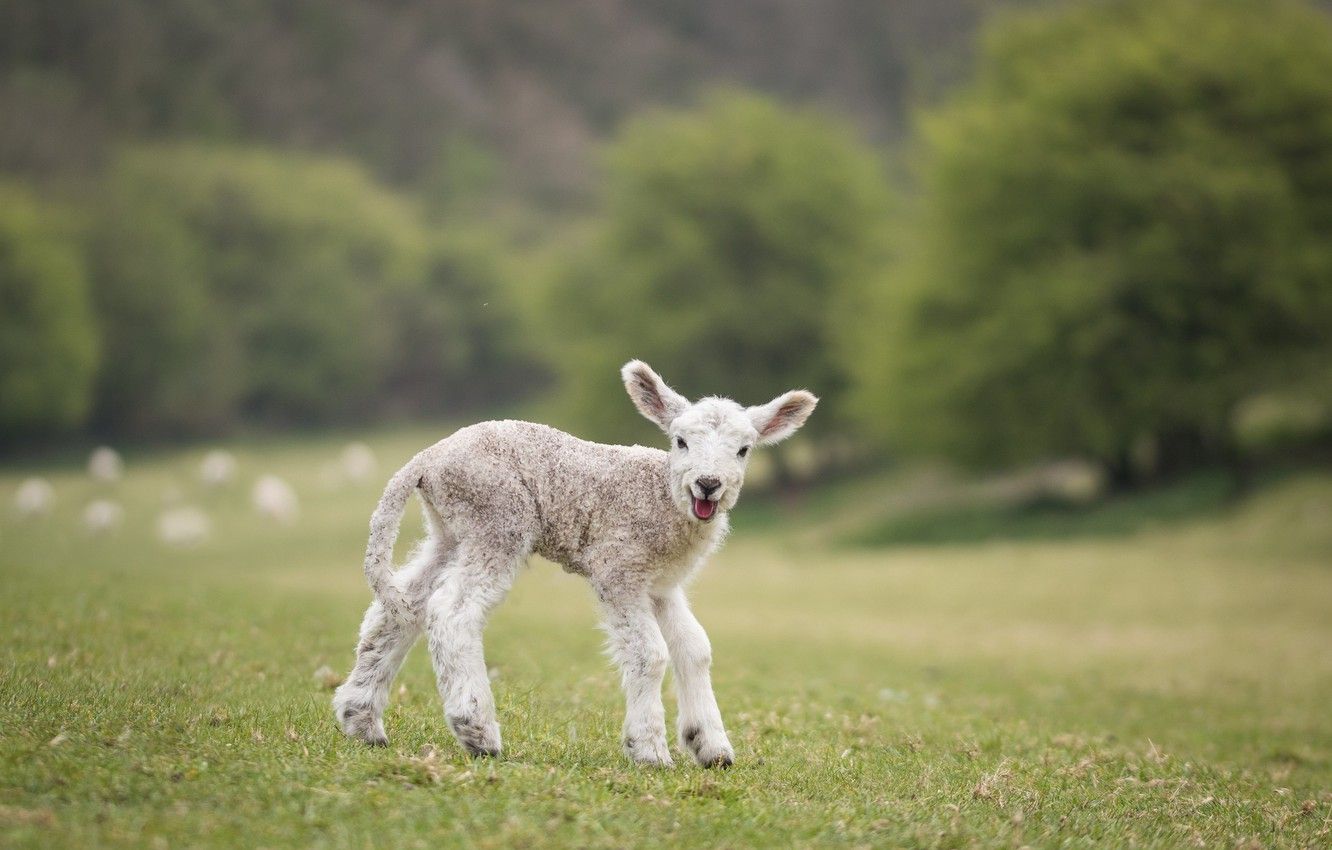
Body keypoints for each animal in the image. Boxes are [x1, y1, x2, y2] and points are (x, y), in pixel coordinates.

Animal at [330, 362, 820, 767]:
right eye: (681, 442)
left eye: (743, 450)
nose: (708, 484)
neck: (661, 496)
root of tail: (426, 459)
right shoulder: (618, 567)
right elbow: (650, 654)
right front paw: (649, 751)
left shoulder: (661, 585)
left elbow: (695, 649)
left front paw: (711, 747)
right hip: (496, 518)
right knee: (451, 611)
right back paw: (478, 731)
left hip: (452, 530)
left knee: (402, 607)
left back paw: (362, 721)